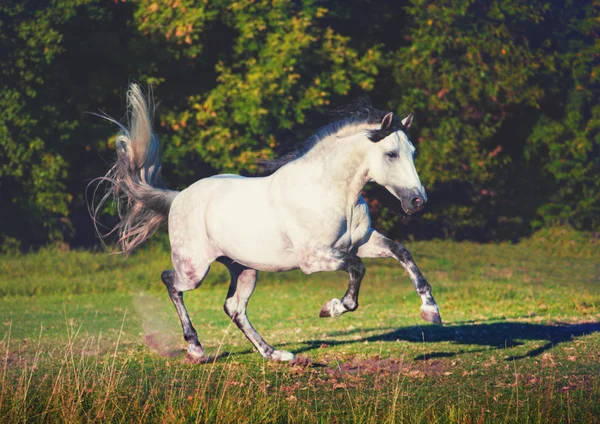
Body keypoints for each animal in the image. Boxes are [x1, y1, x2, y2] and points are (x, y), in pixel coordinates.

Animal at [94, 84, 440, 362]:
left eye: (412, 151)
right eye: (392, 154)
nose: (418, 201)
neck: (330, 192)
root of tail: (178, 197)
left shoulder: (362, 242)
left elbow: (402, 252)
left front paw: (431, 311)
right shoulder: (313, 259)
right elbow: (357, 270)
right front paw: (330, 308)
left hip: (244, 269)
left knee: (234, 307)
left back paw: (275, 354)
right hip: (194, 269)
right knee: (171, 282)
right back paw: (196, 348)